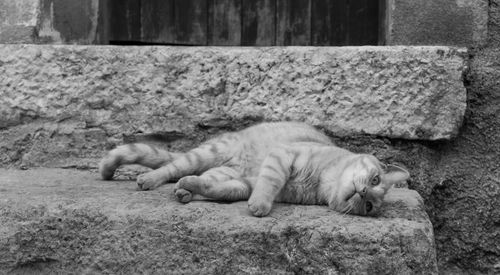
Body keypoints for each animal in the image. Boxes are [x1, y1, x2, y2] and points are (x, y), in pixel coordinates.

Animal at [98, 123, 410, 218]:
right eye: (375, 179)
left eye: (369, 206)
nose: (363, 191)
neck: (321, 181)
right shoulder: (283, 157)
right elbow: (269, 183)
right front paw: (260, 205)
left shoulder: (242, 185)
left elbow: (217, 189)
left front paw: (193, 188)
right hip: (205, 154)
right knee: (169, 167)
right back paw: (150, 179)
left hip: (221, 170)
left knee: (201, 179)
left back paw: (185, 191)